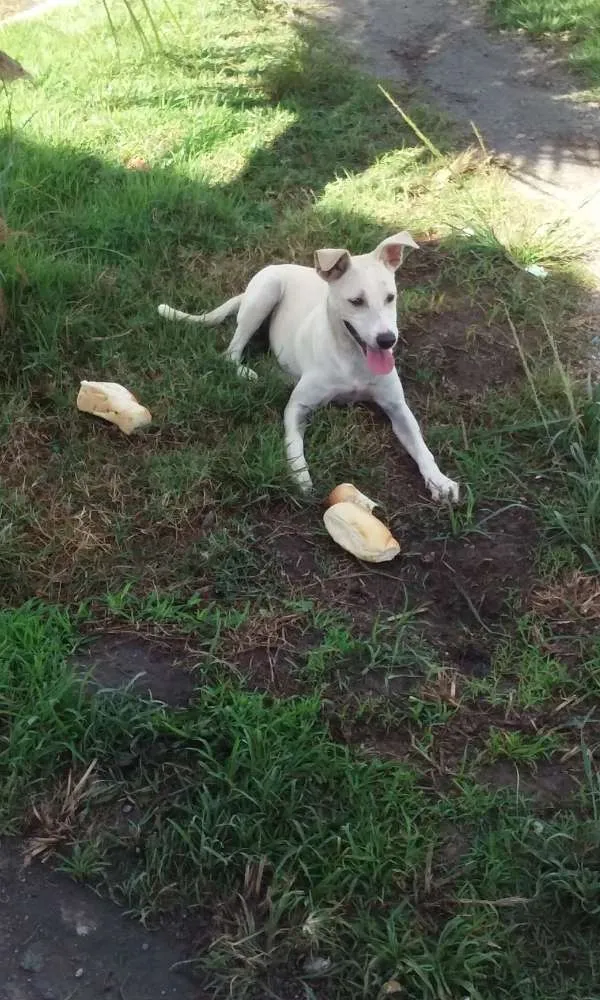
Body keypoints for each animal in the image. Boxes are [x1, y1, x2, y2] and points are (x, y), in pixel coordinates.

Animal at [159, 232, 460, 500]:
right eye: (356, 301)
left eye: (391, 297)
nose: (387, 340)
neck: (352, 357)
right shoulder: (298, 407)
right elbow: (294, 443)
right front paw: (301, 477)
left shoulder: (397, 407)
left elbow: (421, 445)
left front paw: (440, 481)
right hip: (266, 292)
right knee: (231, 352)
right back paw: (248, 372)